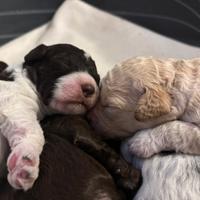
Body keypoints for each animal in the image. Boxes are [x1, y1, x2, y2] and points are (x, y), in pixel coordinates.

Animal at [0, 43, 99, 191]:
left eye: (97, 78)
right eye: (64, 61)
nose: (90, 88)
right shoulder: (12, 100)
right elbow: (31, 129)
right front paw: (26, 160)